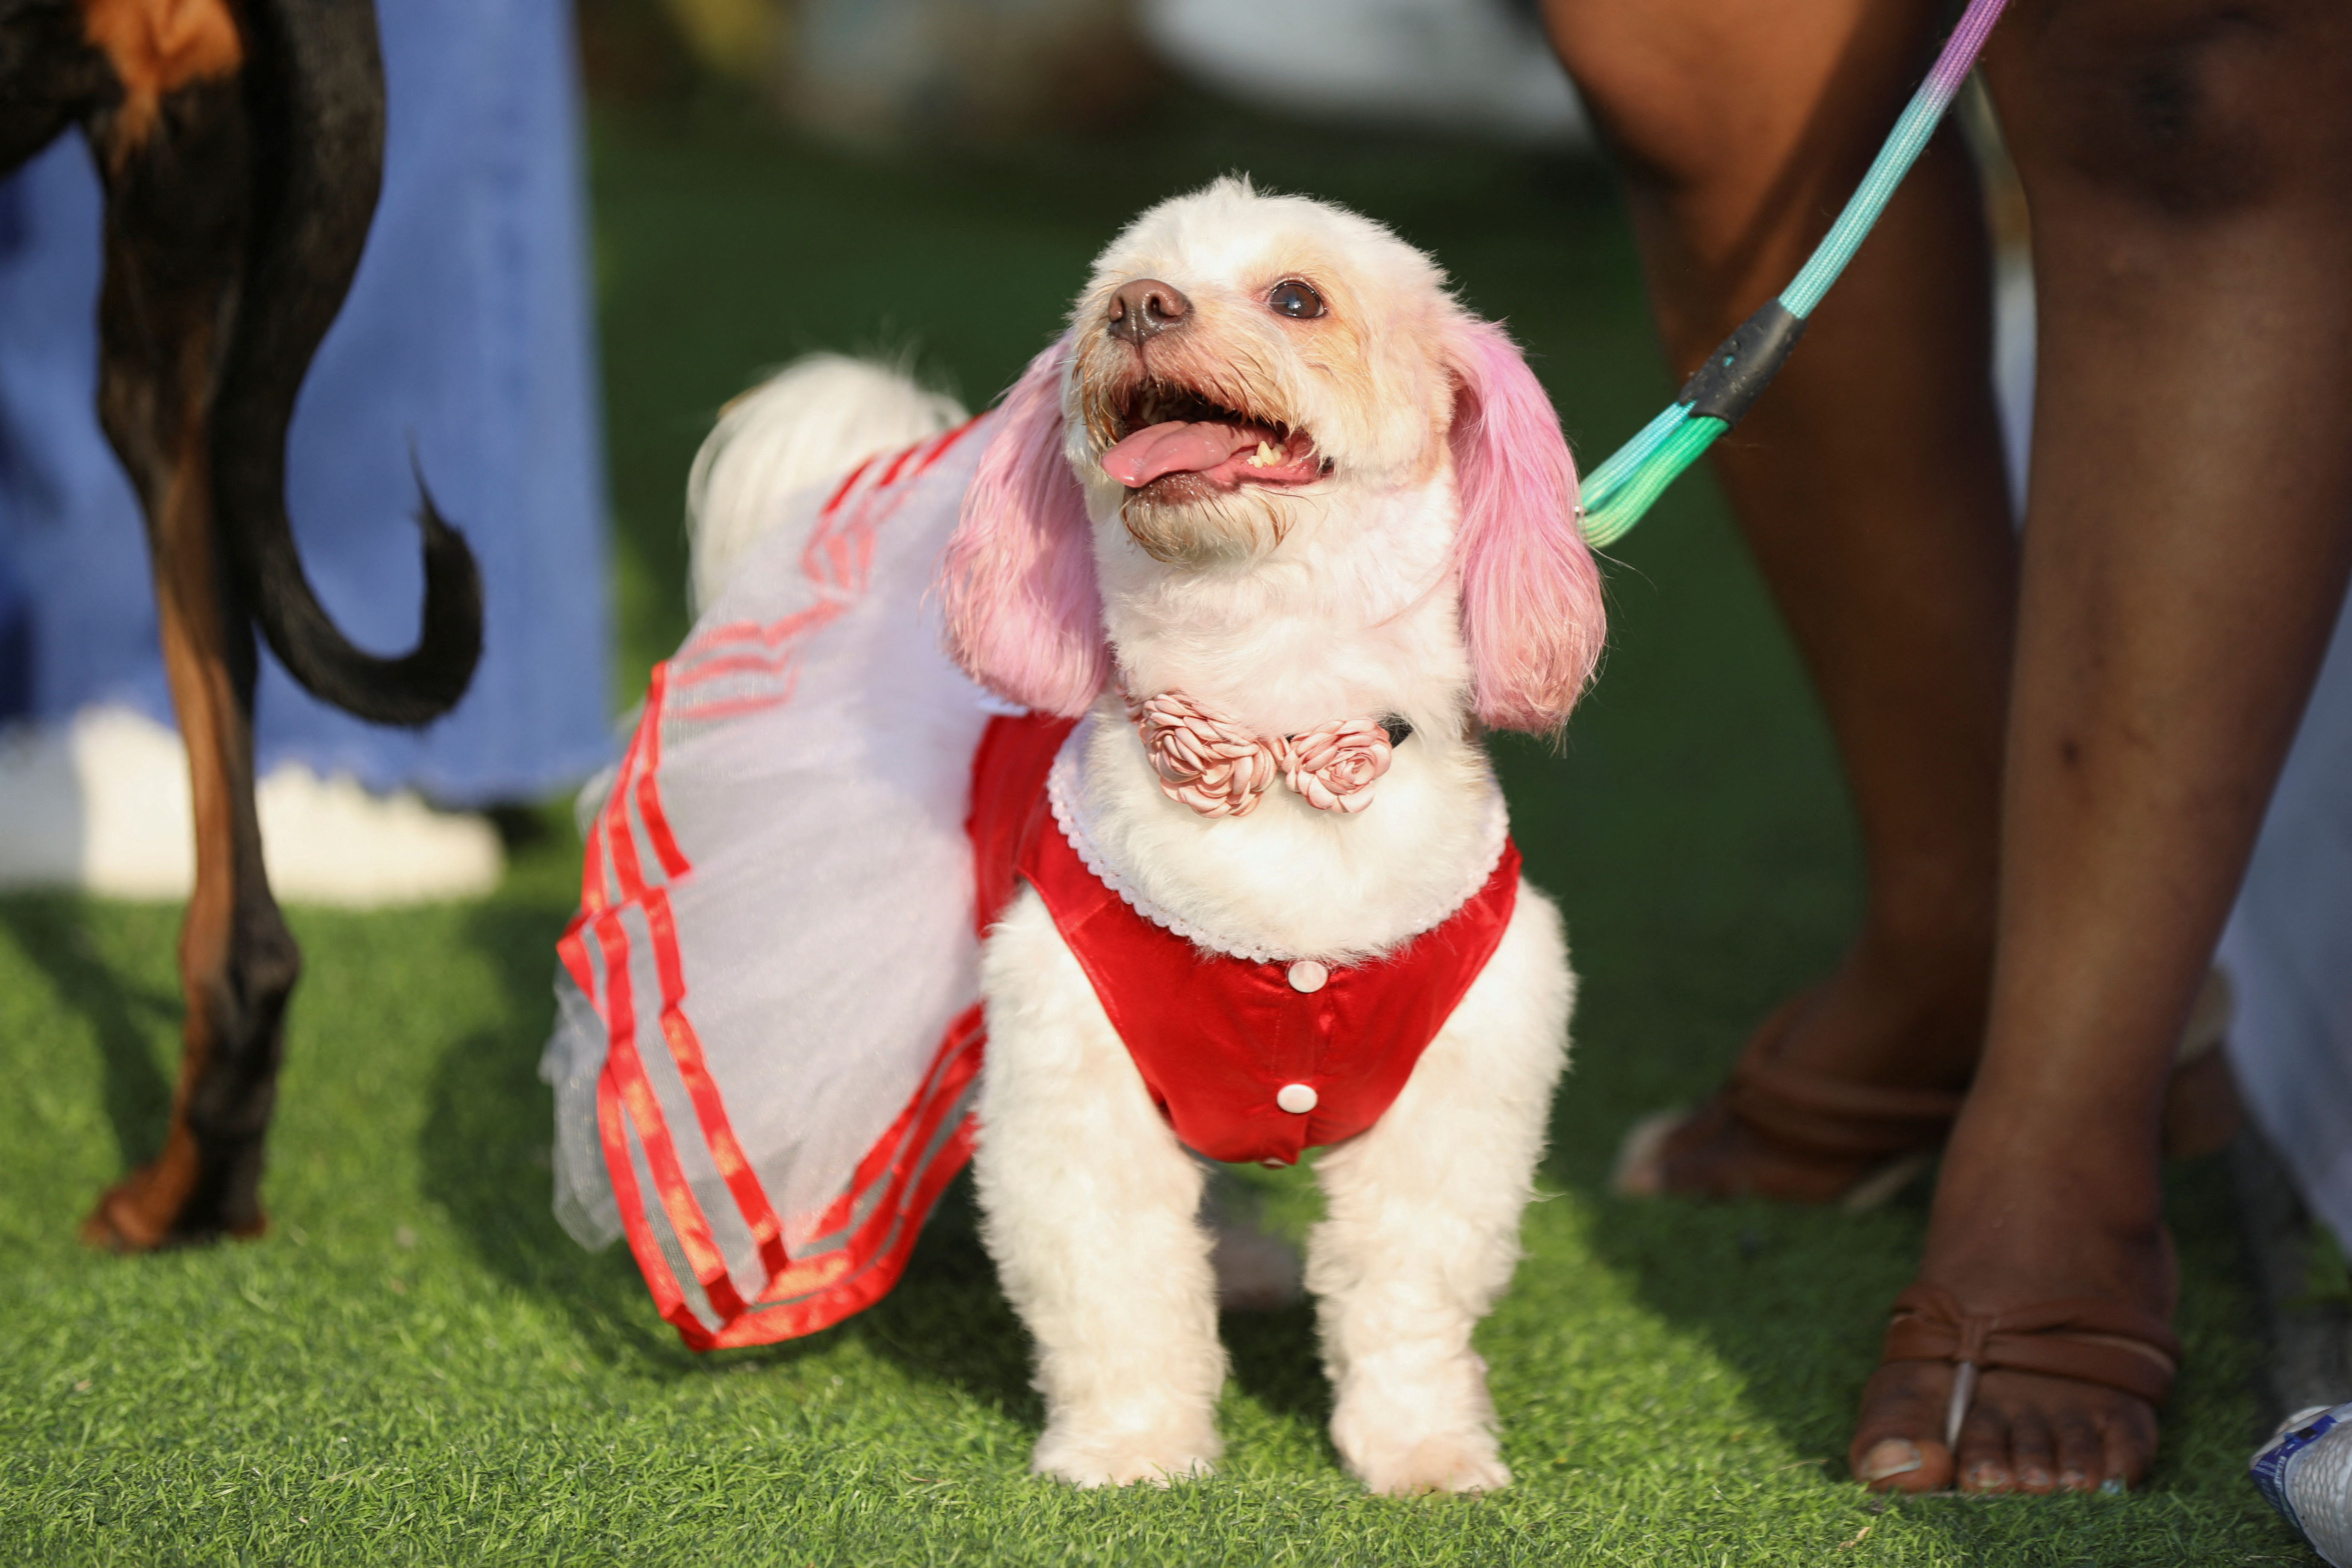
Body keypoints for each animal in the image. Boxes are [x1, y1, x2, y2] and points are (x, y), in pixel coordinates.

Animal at [687, 177, 1609, 1495]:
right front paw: (1131, 1450)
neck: (1273, 742)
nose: (1138, 308)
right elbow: (1115, 1286)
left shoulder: (1457, 1090)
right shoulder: (1073, 1085)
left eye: (1297, 297)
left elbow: (1405, 1294)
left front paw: (1422, 1450)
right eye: (1111, 290)